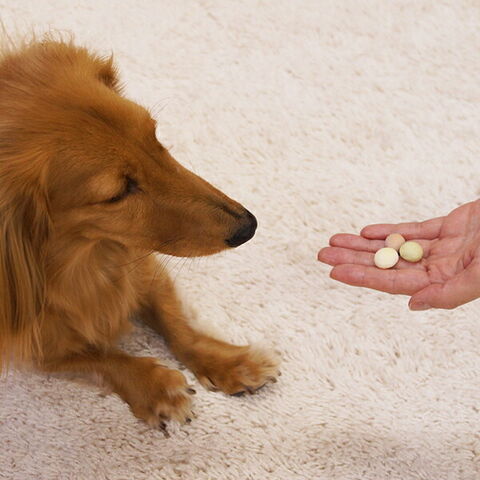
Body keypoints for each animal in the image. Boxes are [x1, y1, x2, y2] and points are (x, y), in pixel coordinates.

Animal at [0, 36, 279, 427]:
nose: (247, 227)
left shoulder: (142, 267)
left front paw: (231, 361)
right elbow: (102, 356)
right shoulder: (32, 342)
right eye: (117, 193)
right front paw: (155, 386)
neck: (83, 258)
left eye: (154, 137)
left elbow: (176, 323)